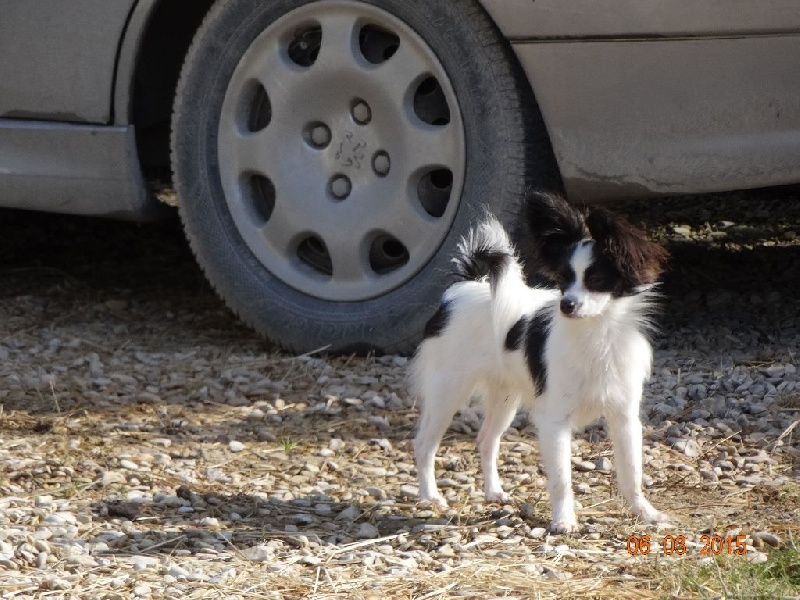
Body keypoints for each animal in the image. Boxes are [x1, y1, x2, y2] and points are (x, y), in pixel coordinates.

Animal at [410, 195, 672, 532]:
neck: (595, 334)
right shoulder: (554, 421)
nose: (566, 305)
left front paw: (645, 512)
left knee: (486, 440)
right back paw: (430, 497)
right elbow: (562, 479)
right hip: (447, 391)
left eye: (596, 280)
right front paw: (564, 520)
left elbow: (631, 473)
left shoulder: (624, 417)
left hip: (504, 399)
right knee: (425, 444)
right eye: (562, 280)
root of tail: (463, 287)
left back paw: (493, 492)